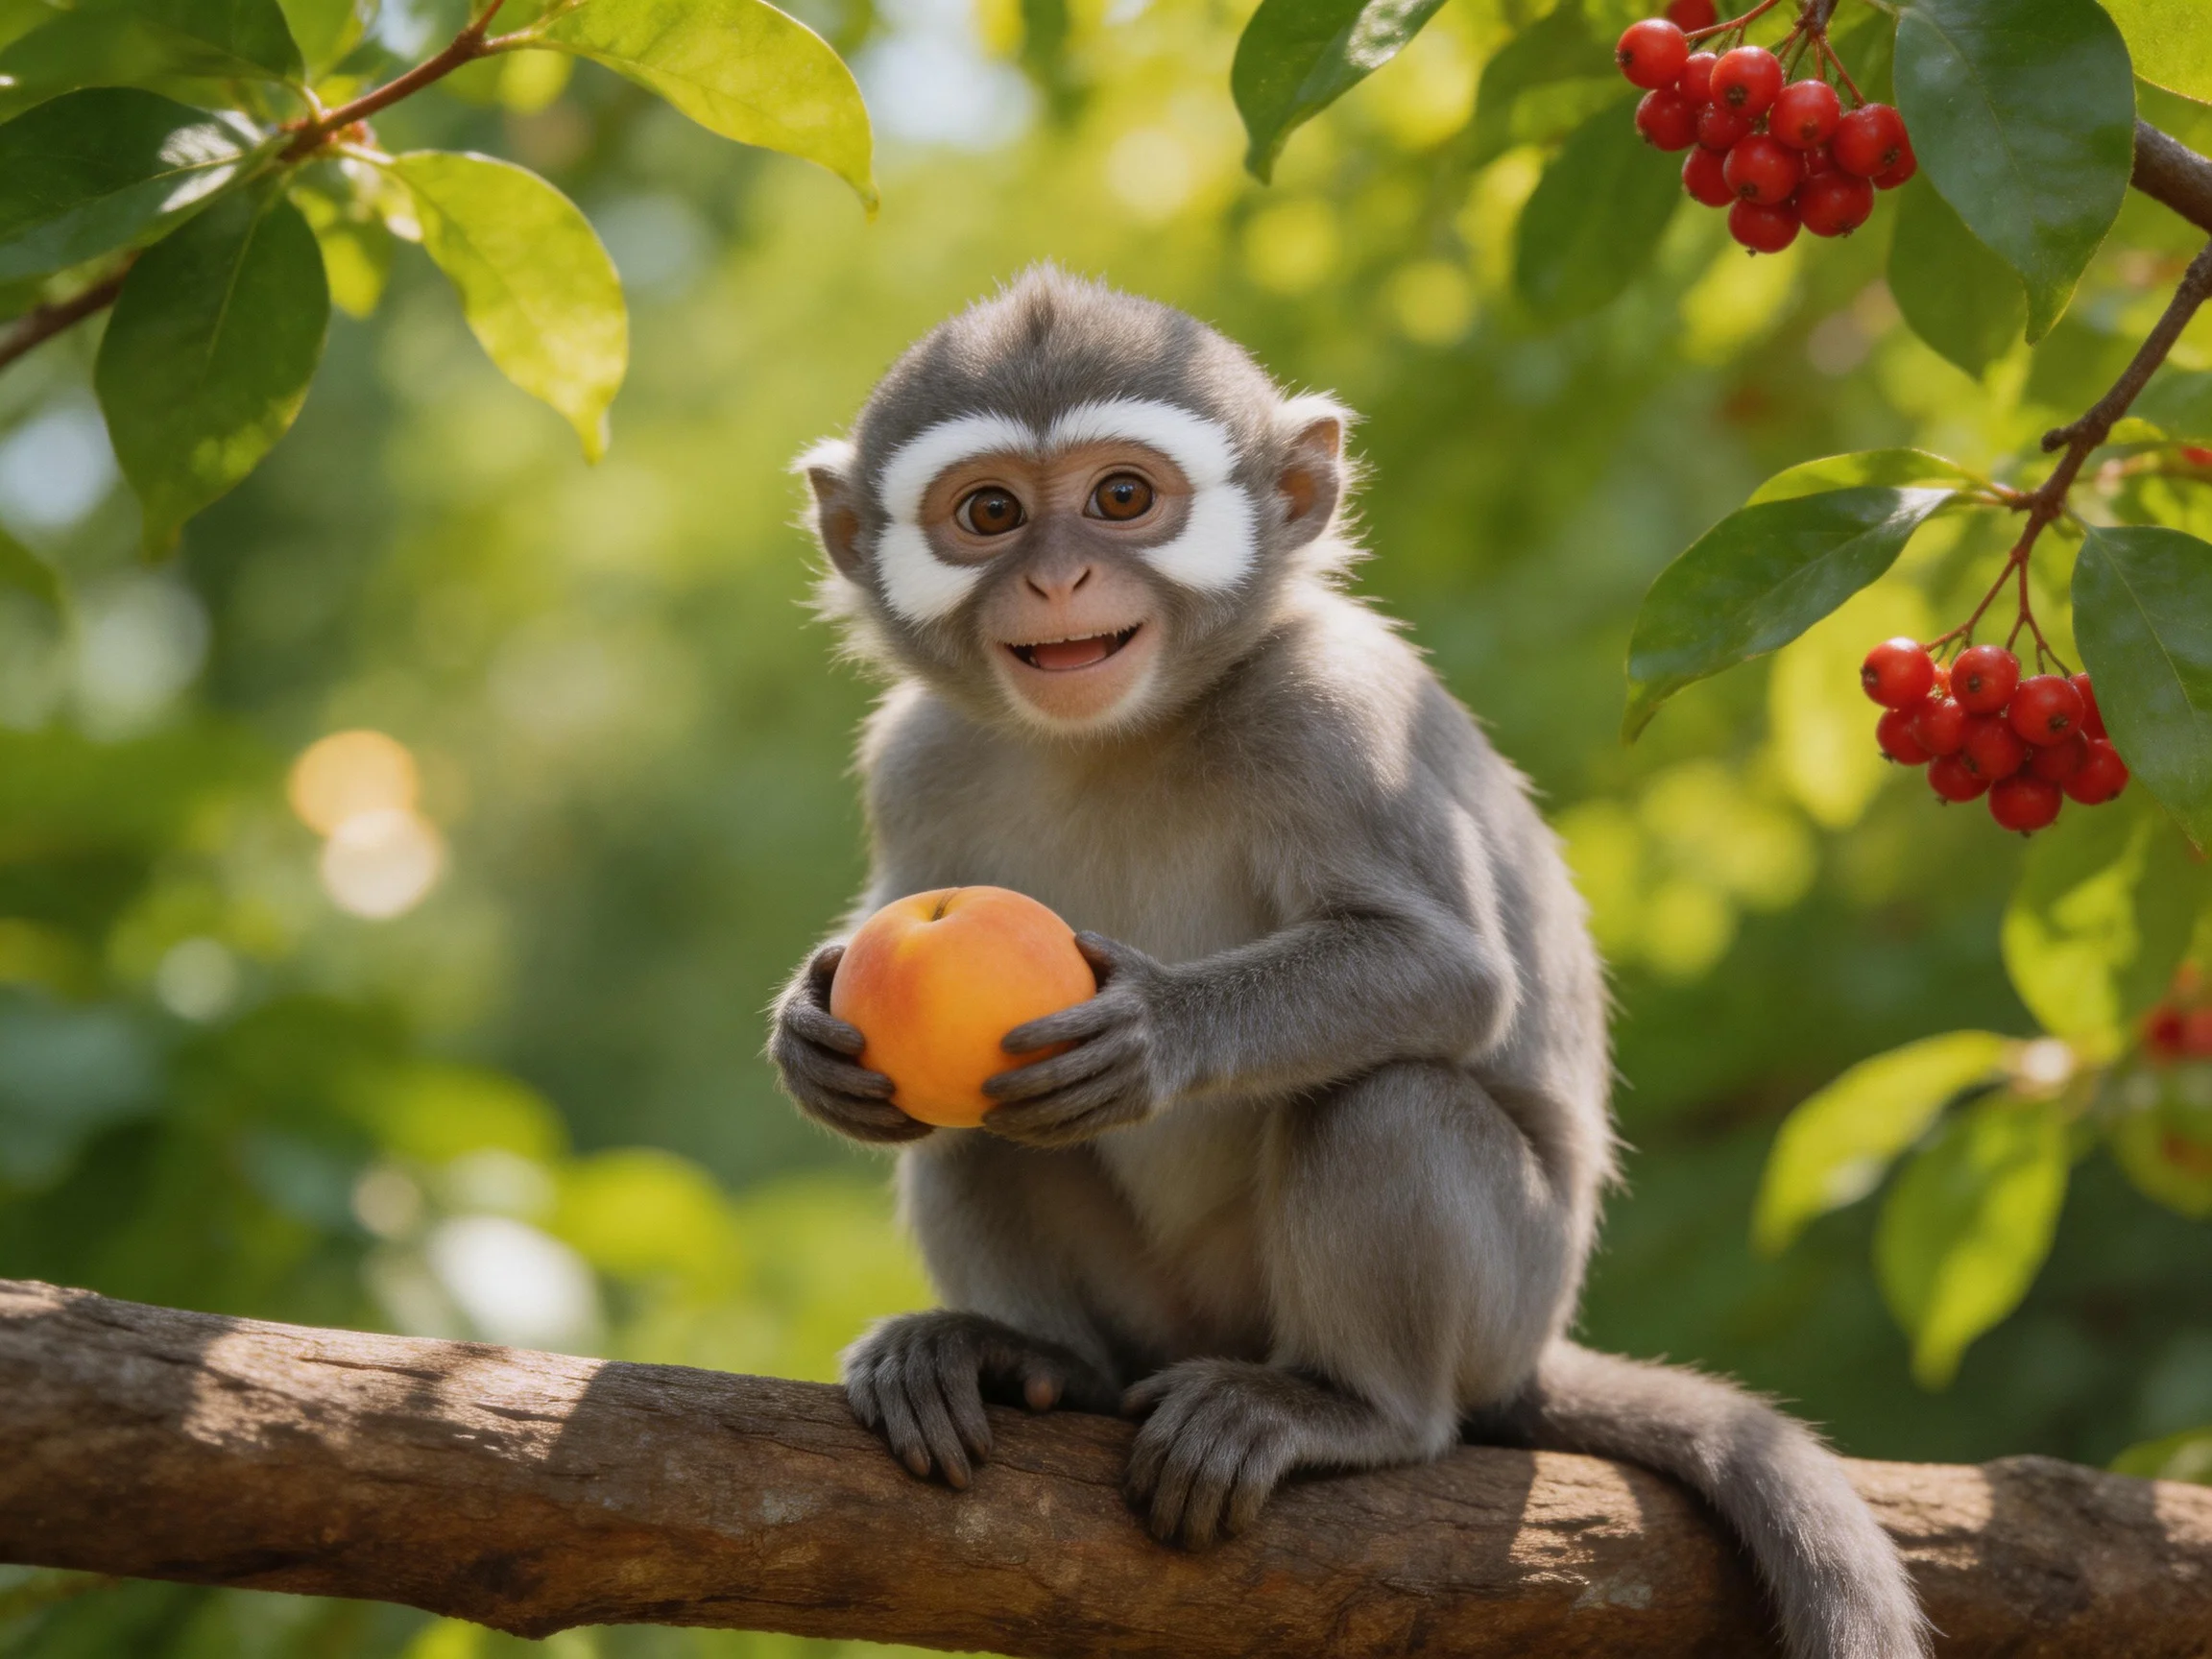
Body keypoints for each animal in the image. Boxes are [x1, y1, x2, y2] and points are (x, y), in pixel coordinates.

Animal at [767, 266, 1928, 1659]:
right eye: (988, 513)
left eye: (1121, 498)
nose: (1056, 580)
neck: (1119, 737)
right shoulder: (916, 756)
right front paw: (809, 1036)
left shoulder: (1333, 712)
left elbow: (1448, 975)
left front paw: (1158, 1031)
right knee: (985, 1127)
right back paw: (1034, 1361)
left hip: (1502, 1296)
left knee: (1389, 1098)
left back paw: (1354, 1411)